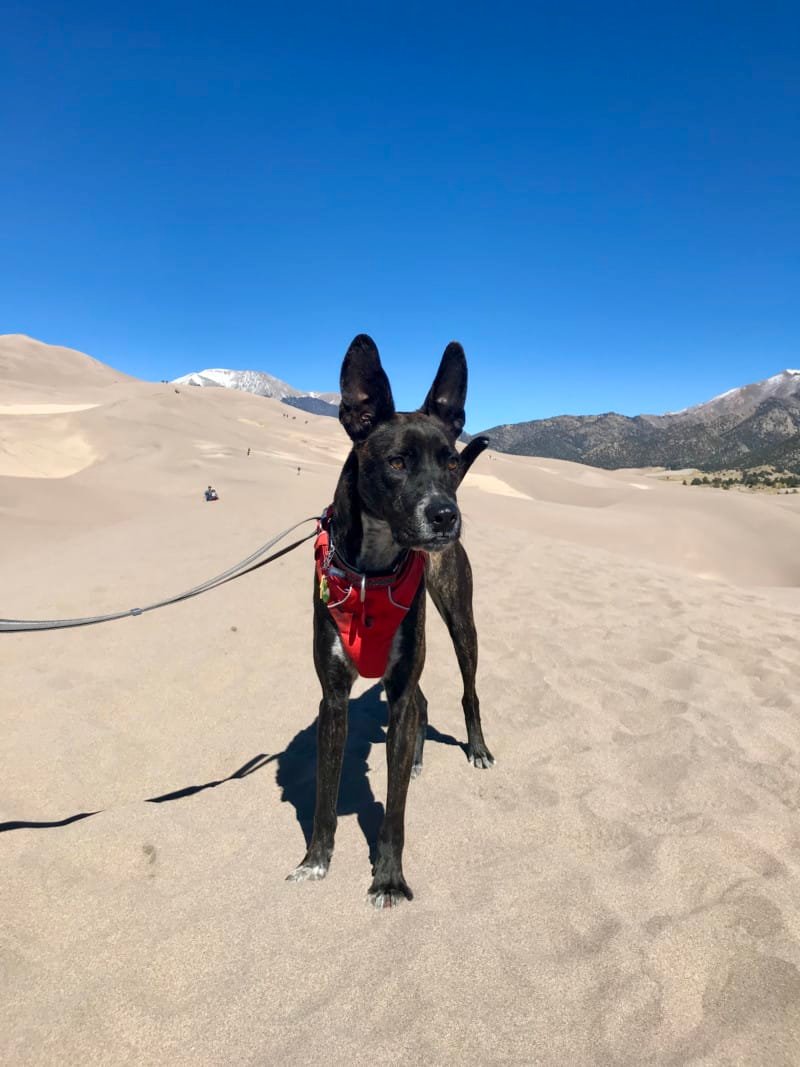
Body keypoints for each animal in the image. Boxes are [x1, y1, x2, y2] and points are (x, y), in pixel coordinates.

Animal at [288, 335, 494, 909]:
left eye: (450, 461)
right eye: (397, 461)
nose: (446, 515)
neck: (370, 572)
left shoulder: (398, 685)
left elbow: (395, 810)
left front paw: (388, 878)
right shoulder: (334, 698)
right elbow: (325, 794)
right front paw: (316, 861)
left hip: (459, 620)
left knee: (467, 690)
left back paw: (476, 748)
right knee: (422, 701)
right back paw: (419, 757)